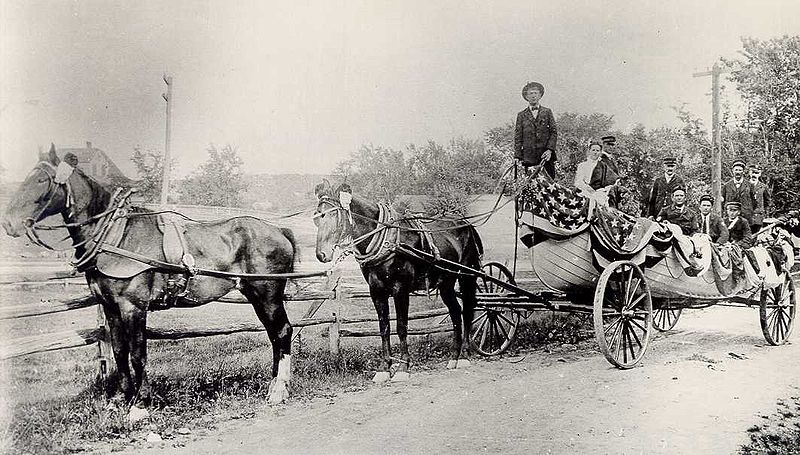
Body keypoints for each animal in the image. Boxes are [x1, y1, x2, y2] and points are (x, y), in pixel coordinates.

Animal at [0, 146, 296, 406]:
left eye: (41, 180)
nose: (8, 223)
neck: (117, 236)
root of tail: (279, 230)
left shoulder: (134, 307)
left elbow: (138, 354)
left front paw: (140, 404)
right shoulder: (111, 307)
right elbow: (120, 352)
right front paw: (120, 400)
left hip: (267, 294)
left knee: (282, 331)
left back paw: (278, 391)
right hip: (256, 294)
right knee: (274, 335)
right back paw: (274, 386)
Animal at [312, 181, 482, 382]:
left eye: (332, 214)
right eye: (317, 218)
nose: (321, 254)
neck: (389, 241)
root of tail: (467, 224)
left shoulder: (400, 289)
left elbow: (401, 326)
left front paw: (403, 367)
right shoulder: (376, 291)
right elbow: (384, 327)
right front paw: (384, 368)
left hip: (467, 276)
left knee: (467, 311)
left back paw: (463, 355)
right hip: (446, 283)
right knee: (455, 312)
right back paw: (454, 357)